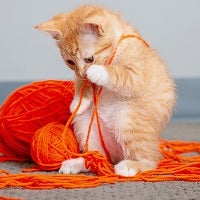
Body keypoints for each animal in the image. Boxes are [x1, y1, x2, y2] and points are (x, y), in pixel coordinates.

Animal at [35, 5, 175, 177]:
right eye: (70, 62)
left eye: (89, 59)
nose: (82, 72)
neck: (114, 51)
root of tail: (116, 156)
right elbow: (82, 84)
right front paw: (78, 102)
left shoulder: (137, 74)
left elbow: (119, 74)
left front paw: (98, 72)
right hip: (85, 123)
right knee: (96, 156)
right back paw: (79, 162)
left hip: (128, 117)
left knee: (150, 160)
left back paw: (131, 165)